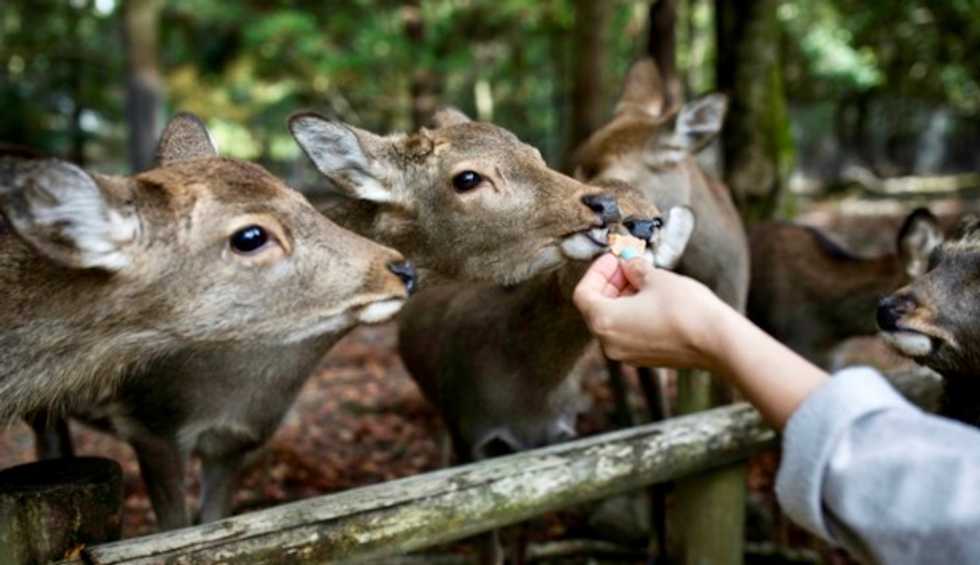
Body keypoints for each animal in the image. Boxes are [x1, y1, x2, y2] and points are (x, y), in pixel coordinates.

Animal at [398, 180, 694, 565]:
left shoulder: (547, 443)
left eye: (657, 218)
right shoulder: (472, 435)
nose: (645, 228)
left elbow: (525, 527)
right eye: (608, 211)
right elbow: (486, 541)